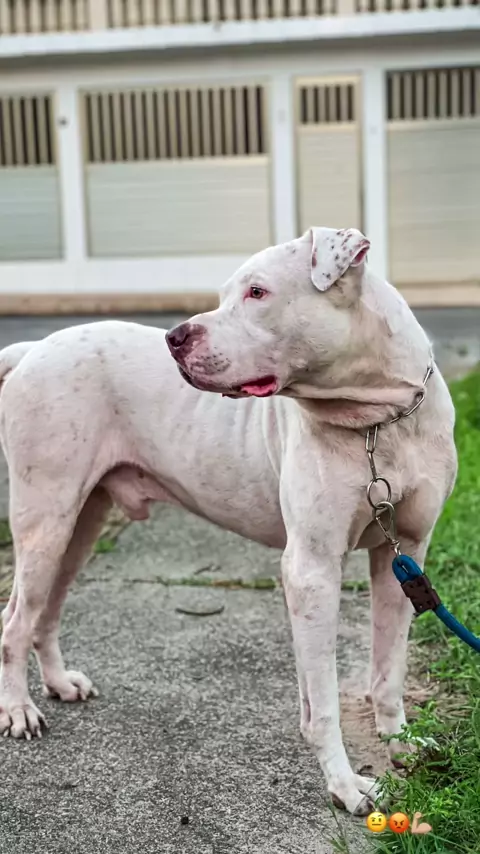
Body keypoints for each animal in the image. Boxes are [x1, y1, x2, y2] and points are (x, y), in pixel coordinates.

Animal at [0, 227, 456, 815]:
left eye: (257, 292)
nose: (175, 337)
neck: (380, 420)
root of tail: (32, 349)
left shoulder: (404, 554)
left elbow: (388, 668)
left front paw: (400, 742)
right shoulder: (313, 569)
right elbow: (325, 700)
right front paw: (345, 785)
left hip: (81, 522)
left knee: (47, 610)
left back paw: (59, 683)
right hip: (46, 519)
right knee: (15, 620)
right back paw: (18, 710)